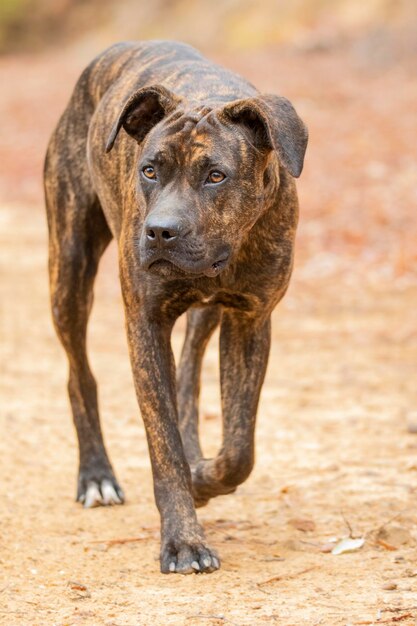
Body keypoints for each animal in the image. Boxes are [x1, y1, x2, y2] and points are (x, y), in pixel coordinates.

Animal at [44, 41, 308, 572]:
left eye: (215, 176)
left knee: (188, 370)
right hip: (69, 273)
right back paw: (96, 476)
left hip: (209, 312)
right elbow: (162, 445)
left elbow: (239, 447)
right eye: (149, 170)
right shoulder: (145, 325)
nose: (160, 231)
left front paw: (204, 475)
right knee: (79, 376)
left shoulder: (250, 320)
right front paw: (184, 540)